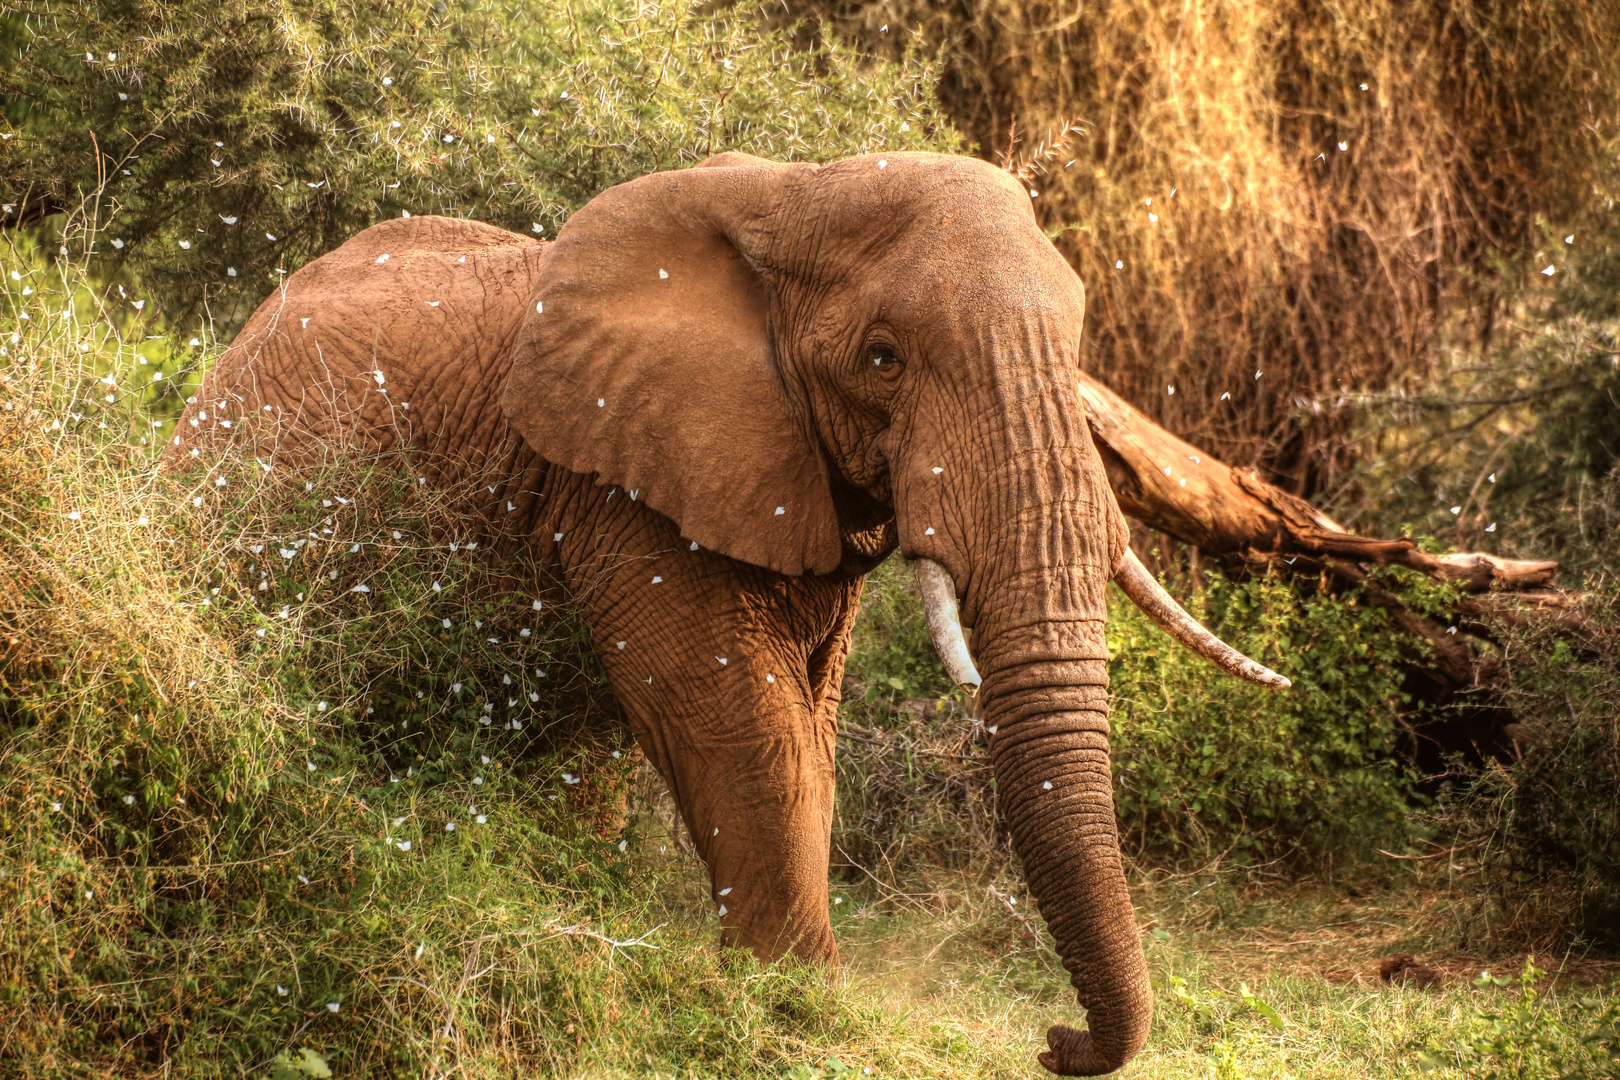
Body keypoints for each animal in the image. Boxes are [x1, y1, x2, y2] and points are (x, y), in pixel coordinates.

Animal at [174, 149, 1289, 1075]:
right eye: (883, 357)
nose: (1054, 1042)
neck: (793, 195)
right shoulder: (628, 479)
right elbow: (744, 723)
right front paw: (797, 1002)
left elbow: (813, 728)